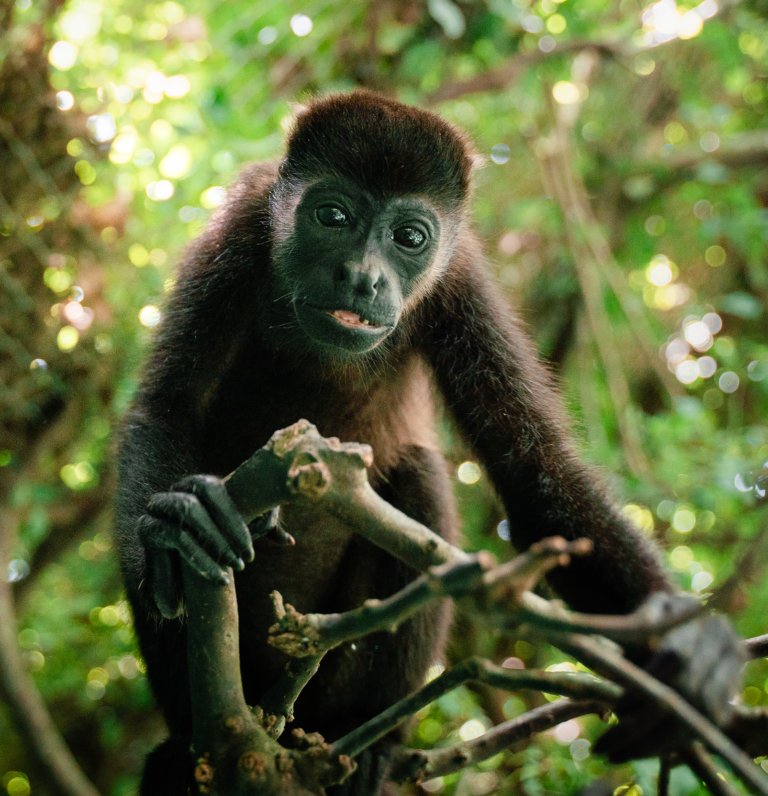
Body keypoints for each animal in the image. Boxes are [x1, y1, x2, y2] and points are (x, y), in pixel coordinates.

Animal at [114, 90, 712, 792]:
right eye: (333, 216)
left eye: (409, 238)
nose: (361, 277)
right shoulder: (236, 231)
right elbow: (165, 409)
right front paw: (177, 526)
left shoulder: (462, 280)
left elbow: (535, 469)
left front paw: (690, 654)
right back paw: (185, 749)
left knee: (420, 479)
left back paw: (370, 745)